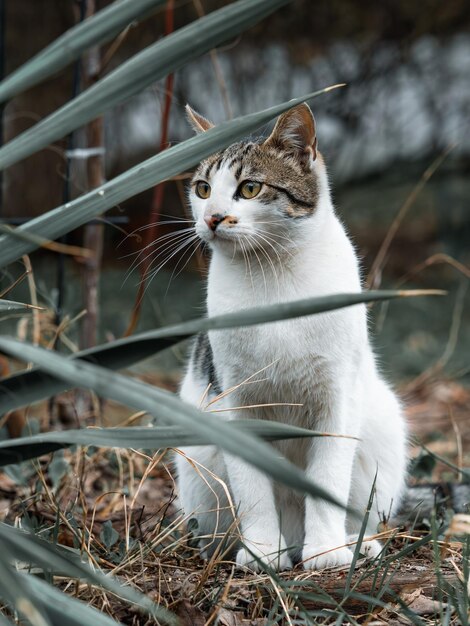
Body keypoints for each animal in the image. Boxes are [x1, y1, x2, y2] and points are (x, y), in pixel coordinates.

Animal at [174, 102, 406, 572]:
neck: (273, 277)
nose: (211, 217)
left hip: (382, 431)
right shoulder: (236, 400)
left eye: (249, 188)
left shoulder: (338, 394)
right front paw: (263, 554)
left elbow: (327, 478)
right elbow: (253, 488)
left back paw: (354, 545)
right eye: (203, 189)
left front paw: (327, 553)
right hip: (197, 460)